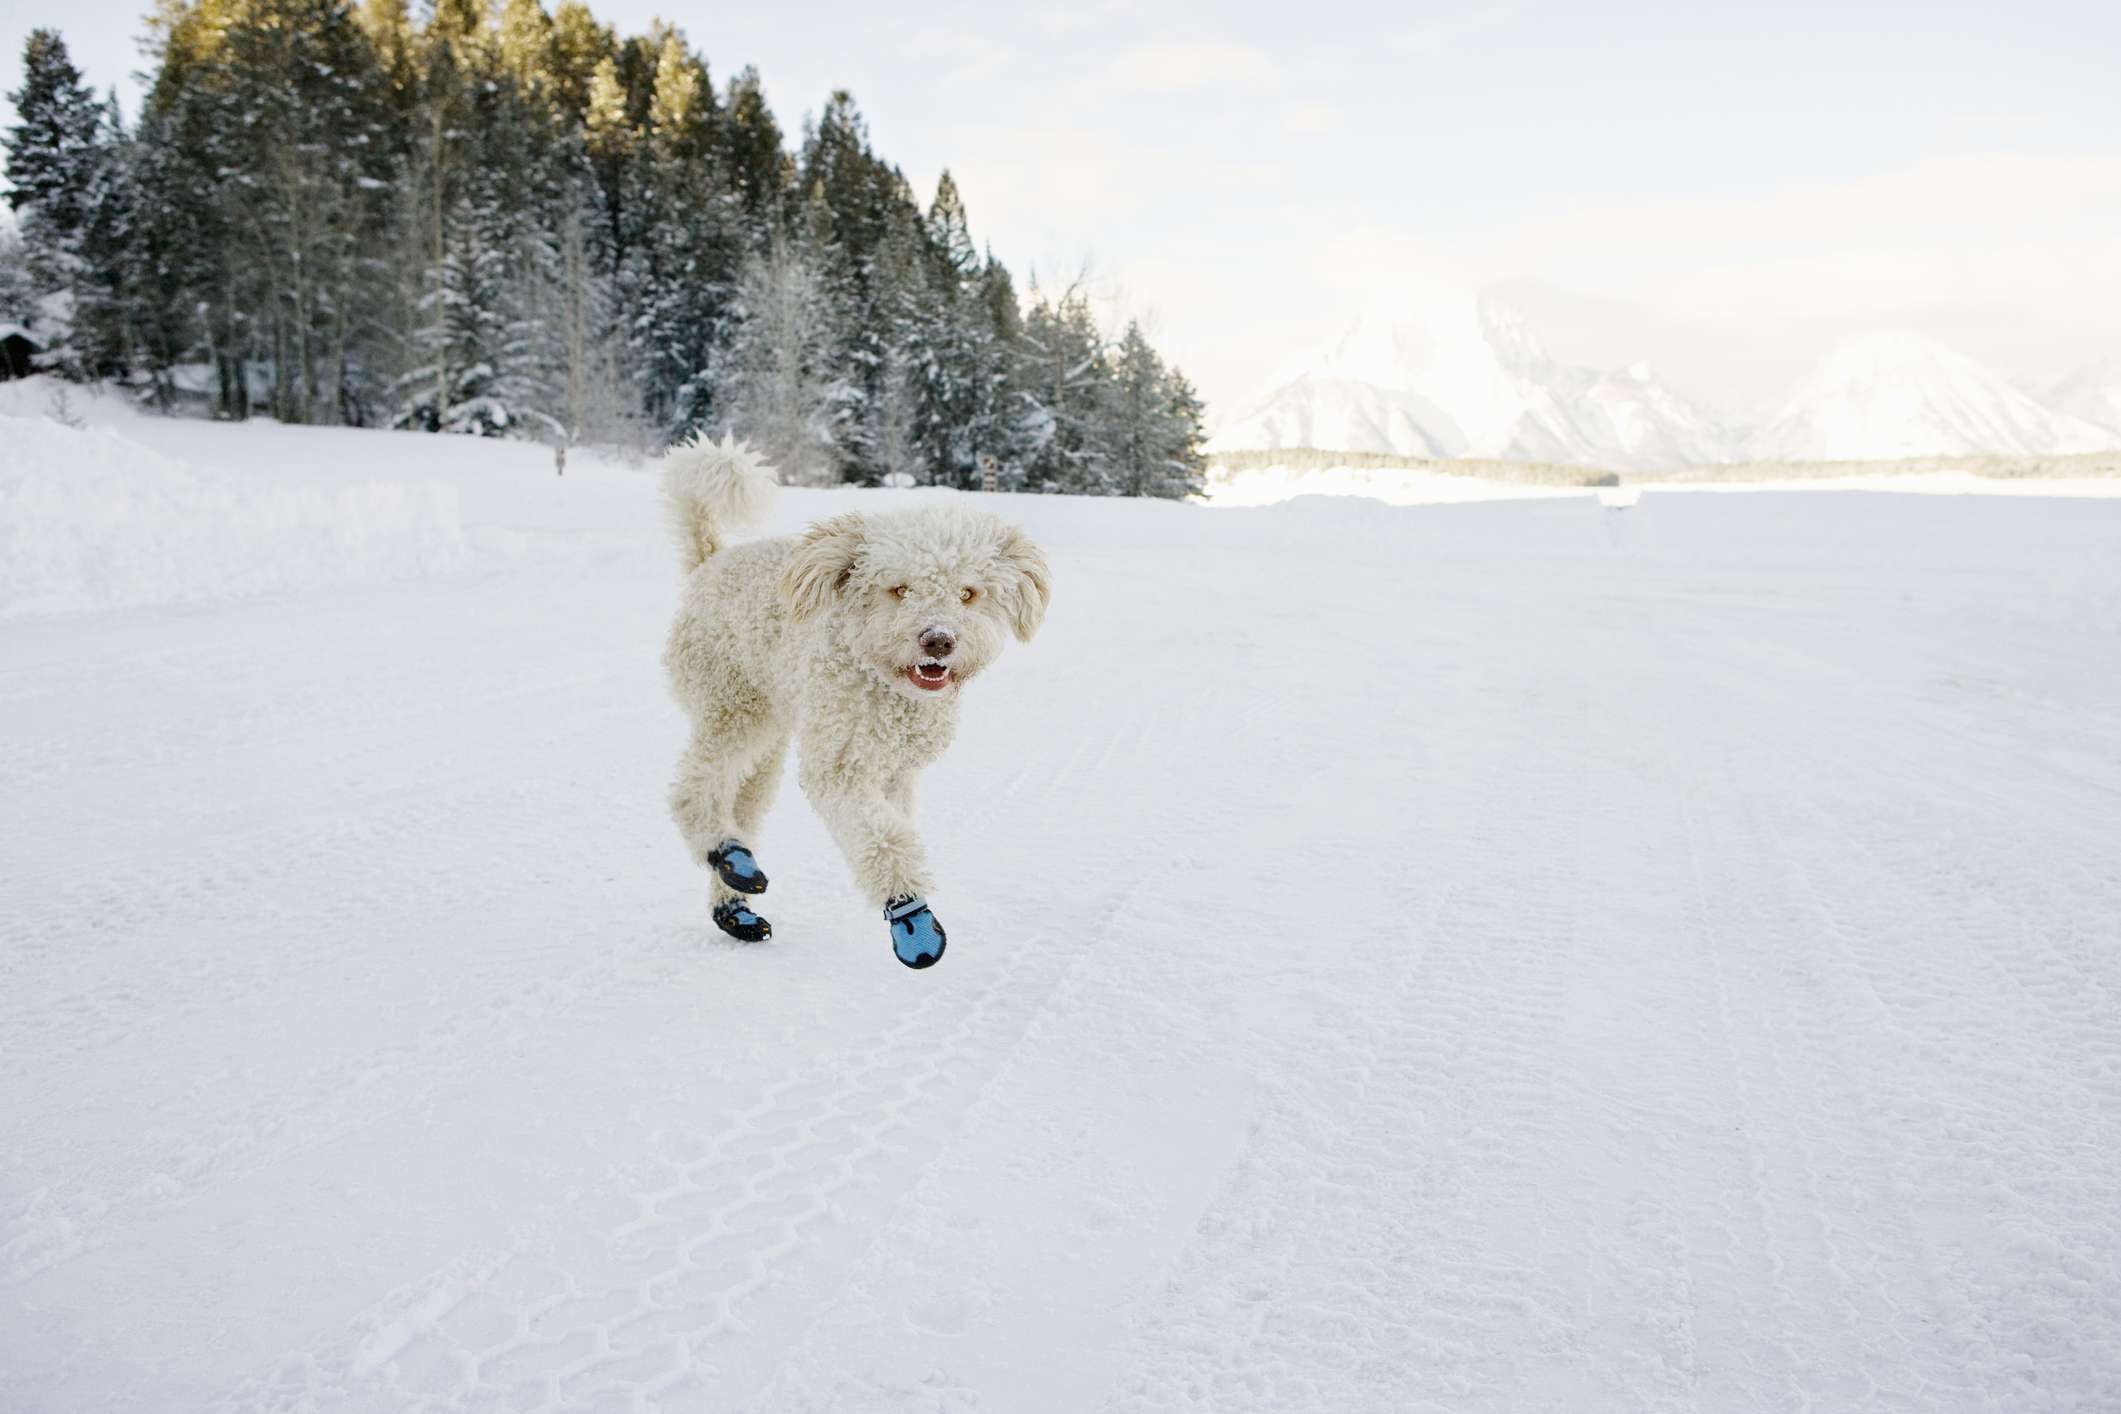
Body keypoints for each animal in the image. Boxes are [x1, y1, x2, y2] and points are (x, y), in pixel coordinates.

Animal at [661, 436, 1052, 966]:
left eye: (969, 594)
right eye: (899, 589)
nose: (938, 640)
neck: (885, 684)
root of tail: (709, 561)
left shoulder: (895, 772)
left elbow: (893, 829)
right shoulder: (841, 766)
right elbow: (883, 838)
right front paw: (912, 920)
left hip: (768, 738)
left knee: (740, 802)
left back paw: (735, 897)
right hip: (731, 706)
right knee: (692, 787)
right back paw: (726, 852)